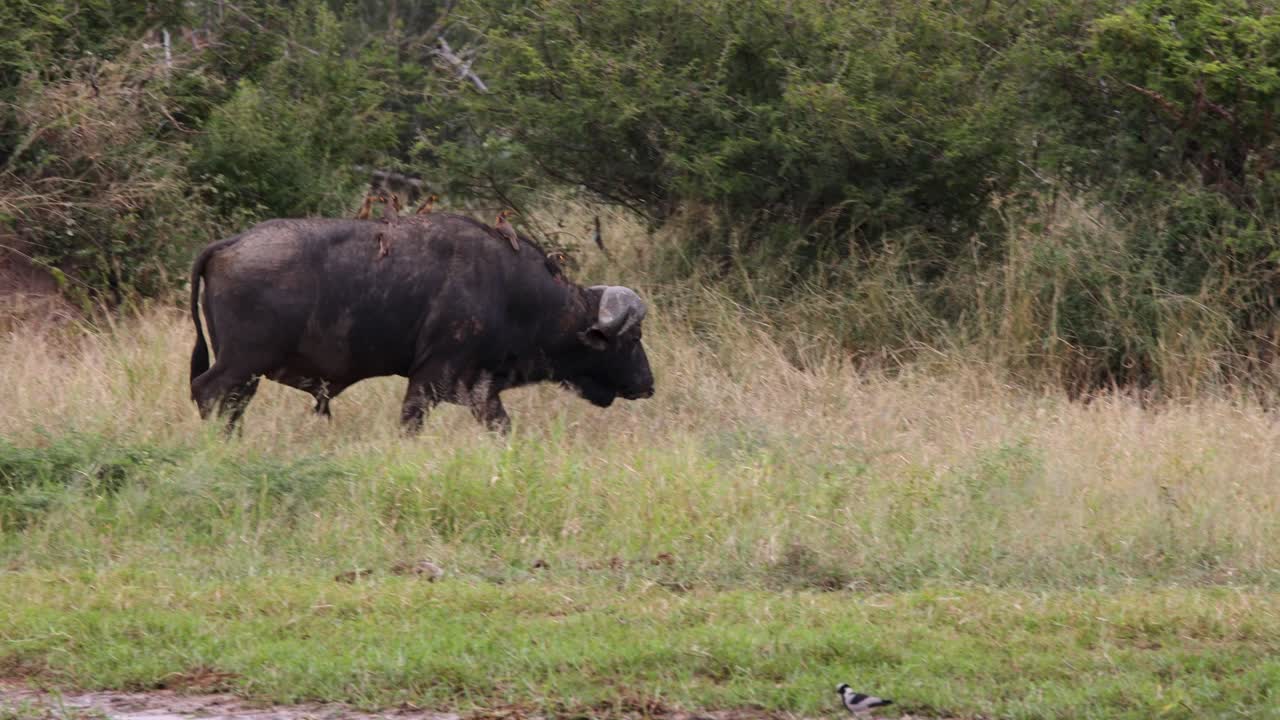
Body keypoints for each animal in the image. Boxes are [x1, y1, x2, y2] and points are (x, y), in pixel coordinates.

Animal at [188, 213, 654, 434]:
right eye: (632, 338)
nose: (648, 384)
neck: (513, 293)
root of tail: (229, 244)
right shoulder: (430, 381)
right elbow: (411, 423)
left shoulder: (479, 390)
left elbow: (502, 427)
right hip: (242, 363)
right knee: (208, 392)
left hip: (247, 373)